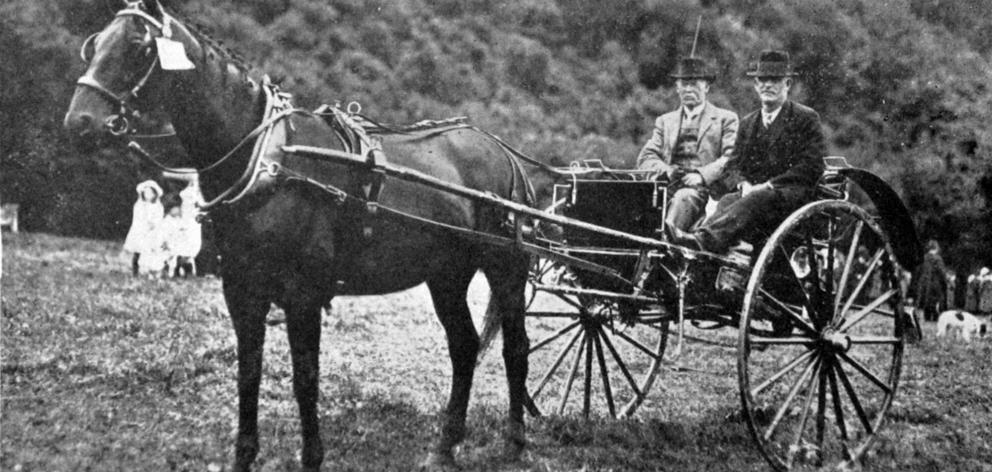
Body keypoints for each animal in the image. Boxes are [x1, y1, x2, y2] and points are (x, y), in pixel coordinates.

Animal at [63, 1, 536, 470]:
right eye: (95, 43)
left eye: (138, 45)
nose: (79, 122)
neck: (269, 160)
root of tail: (504, 154)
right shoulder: (241, 290)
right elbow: (248, 373)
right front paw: (243, 456)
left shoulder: (302, 294)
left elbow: (305, 377)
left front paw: (311, 456)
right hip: (446, 275)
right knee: (464, 346)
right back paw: (445, 445)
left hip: (506, 269)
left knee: (515, 347)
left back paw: (514, 440)